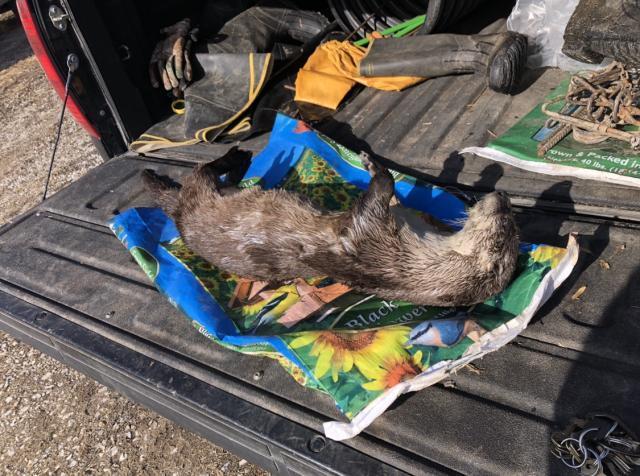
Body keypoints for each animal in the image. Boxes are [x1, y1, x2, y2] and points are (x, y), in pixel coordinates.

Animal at [142, 150, 519, 306]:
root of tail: (179, 214)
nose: (503, 197)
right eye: (510, 218)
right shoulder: (403, 220)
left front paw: (373, 165)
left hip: (197, 194)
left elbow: (379, 191)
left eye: (504, 226)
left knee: (202, 170)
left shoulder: (367, 237)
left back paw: (232, 156)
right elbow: (396, 199)